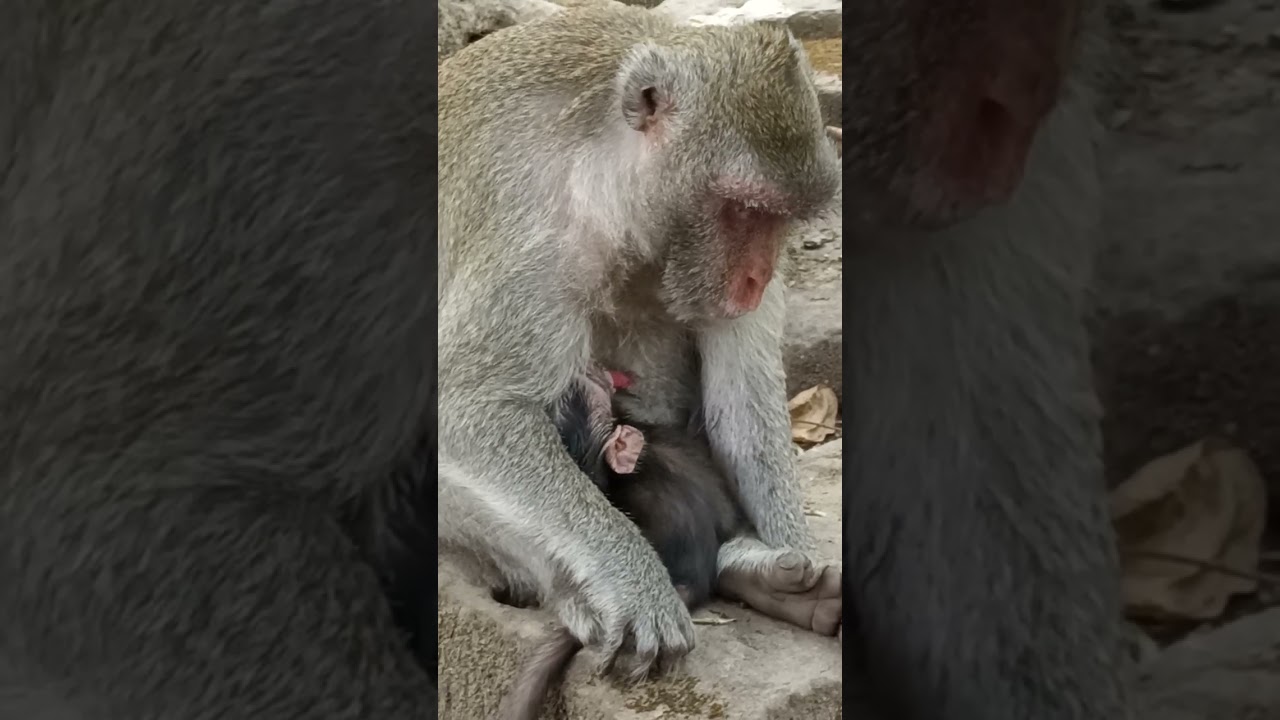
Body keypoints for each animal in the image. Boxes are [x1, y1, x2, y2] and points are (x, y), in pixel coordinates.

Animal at [437, 4, 844, 693]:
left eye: (777, 218)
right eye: (740, 211)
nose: (758, 278)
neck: (600, 168)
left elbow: (745, 402)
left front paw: (786, 555)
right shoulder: (535, 236)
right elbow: (468, 407)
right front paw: (634, 583)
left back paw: (752, 573)